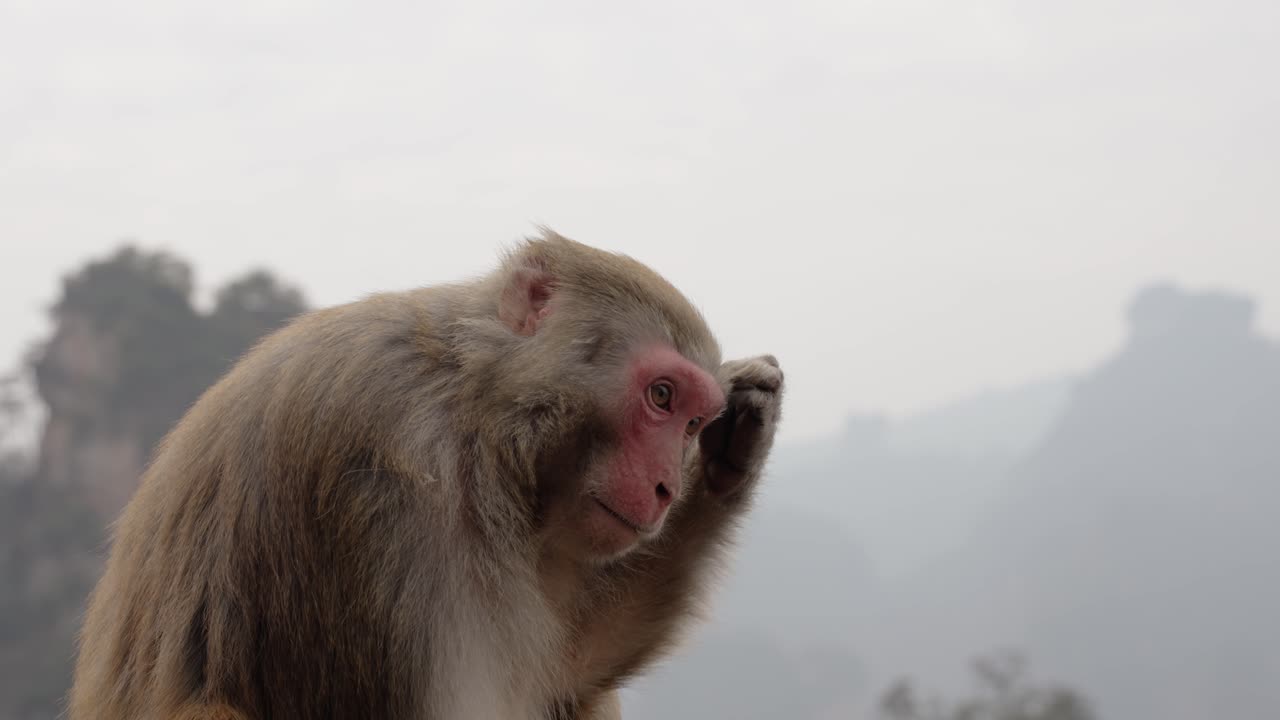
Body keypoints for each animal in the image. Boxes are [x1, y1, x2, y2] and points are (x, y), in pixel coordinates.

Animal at [68, 229, 784, 719]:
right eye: (660, 396)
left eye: (692, 422)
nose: (666, 488)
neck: (476, 412)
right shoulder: (383, 488)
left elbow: (562, 676)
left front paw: (733, 457)